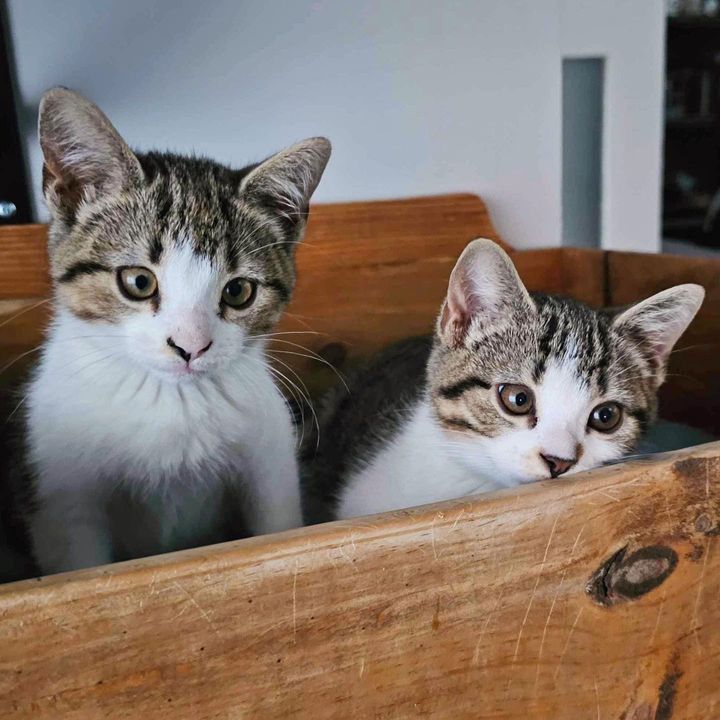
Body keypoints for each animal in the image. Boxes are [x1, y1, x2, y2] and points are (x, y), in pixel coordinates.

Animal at [11, 90, 332, 572]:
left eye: (238, 291)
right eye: (138, 281)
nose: (190, 346)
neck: (170, 401)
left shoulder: (271, 463)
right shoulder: (63, 499)